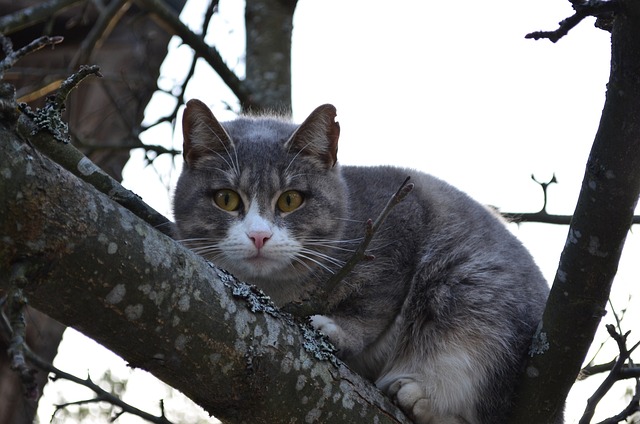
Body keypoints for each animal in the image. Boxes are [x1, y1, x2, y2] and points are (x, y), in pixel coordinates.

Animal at [174, 100, 556, 424]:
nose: (258, 236)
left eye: (290, 200)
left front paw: (338, 330)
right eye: (226, 199)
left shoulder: (401, 216)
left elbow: (374, 303)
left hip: (474, 300)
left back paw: (420, 399)